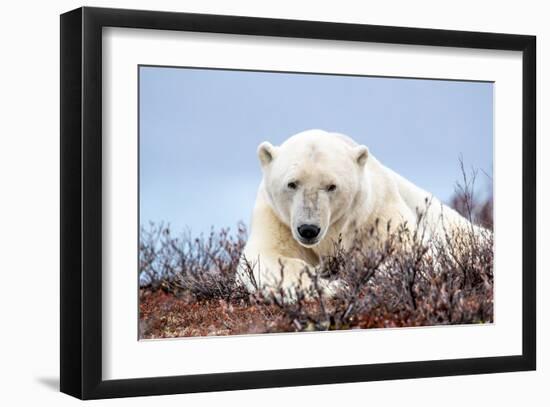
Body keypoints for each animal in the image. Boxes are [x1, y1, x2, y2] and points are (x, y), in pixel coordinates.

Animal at [239, 131, 480, 296]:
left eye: (331, 186)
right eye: (292, 183)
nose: (308, 229)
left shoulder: (377, 214)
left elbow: (411, 253)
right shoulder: (276, 219)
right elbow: (266, 258)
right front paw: (331, 286)